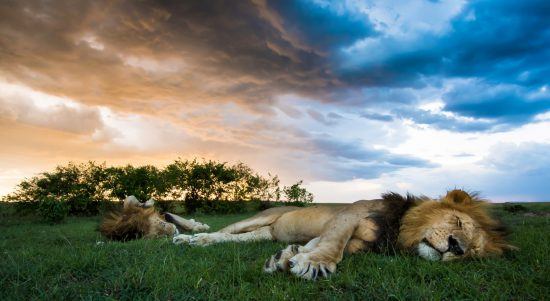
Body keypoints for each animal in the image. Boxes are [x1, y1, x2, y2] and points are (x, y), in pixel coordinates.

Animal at [174, 190, 516, 278]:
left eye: (471, 253)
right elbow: (333, 244)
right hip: (262, 216)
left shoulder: (361, 243)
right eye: (457, 222)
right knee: (223, 231)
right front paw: (316, 264)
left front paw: (288, 257)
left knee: (234, 239)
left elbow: (320, 243)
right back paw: (187, 237)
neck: (398, 230)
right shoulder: (349, 214)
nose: (456, 247)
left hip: (264, 233)